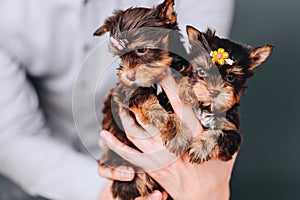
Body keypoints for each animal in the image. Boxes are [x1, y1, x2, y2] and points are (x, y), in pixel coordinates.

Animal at [94, 0, 189, 198]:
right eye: (120, 56)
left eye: (141, 50)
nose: (129, 76)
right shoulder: (123, 91)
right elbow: (143, 95)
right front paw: (162, 118)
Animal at [178, 25, 274, 164]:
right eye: (201, 72)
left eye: (231, 77)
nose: (213, 92)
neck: (207, 107)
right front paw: (186, 88)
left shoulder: (232, 131)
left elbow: (217, 134)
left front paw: (200, 148)